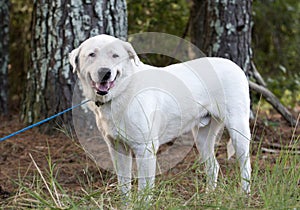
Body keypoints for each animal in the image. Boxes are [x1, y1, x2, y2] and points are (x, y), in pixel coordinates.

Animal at [69, 34, 252, 197]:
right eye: (92, 54)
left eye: (115, 55)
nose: (105, 72)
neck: (123, 90)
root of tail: (235, 65)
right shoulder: (117, 148)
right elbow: (124, 187)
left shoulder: (145, 149)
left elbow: (144, 191)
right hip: (202, 137)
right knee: (213, 166)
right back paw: (208, 196)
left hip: (238, 129)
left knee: (245, 165)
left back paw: (244, 195)